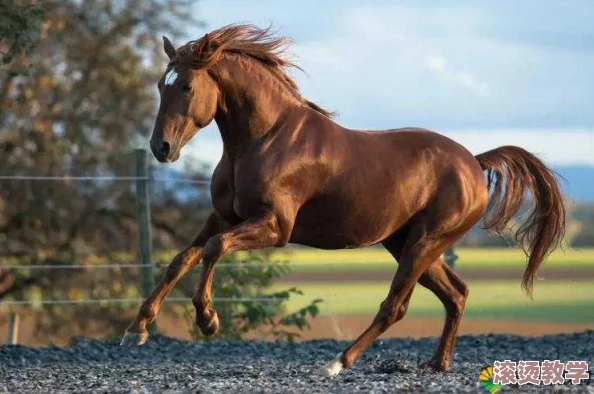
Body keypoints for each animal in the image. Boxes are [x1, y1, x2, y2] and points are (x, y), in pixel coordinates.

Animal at [119, 23, 564, 376]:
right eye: (160, 85)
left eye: (187, 86)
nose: (161, 148)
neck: (265, 139)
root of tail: (473, 161)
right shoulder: (223, 216)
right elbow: (182, 258)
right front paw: (136, 330)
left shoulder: (274, 226)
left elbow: (213, 250)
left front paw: (208, 320)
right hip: (407, 242)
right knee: (456, 294)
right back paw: (437, 364)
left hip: (424, 243)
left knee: (396, 306)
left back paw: (338, 362)